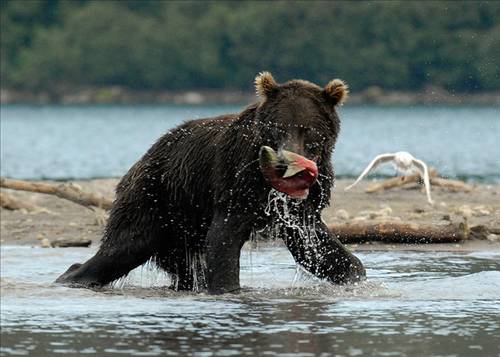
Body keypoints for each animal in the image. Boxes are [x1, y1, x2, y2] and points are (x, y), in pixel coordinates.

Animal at [56, 71, 366, 292]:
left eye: (307, 130)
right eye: (277, 127)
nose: (283, 164)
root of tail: (143, 158)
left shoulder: (303, 203)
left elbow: (317, 247)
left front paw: (354, 273)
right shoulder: (238, 181)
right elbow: (223, 240)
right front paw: (228, 288)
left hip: (181, 225)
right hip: (155, 197)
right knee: (122, 247)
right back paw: (71, 275)